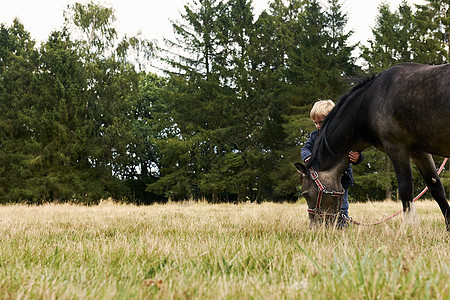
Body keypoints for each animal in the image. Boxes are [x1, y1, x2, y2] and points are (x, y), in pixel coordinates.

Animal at [296, 63, 450, 231]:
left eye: (306, 194)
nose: (314, 227)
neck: (370, 103)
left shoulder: (396, 146)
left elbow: (405, 188)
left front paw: (410, 226)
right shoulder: (418, 151)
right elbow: (436, 187)